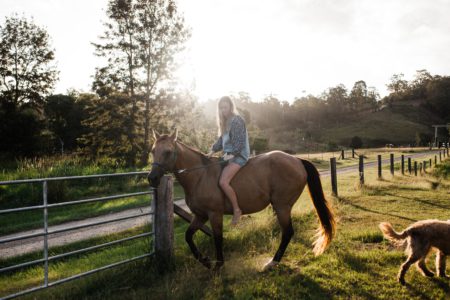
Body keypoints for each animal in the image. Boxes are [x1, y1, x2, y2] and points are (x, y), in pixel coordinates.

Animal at [148, 130, 334, 270]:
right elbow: (188, 237)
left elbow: (217, 237)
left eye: (168, 152)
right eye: (153, 151)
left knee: (287, 232)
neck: (200, 175)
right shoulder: (200, 215)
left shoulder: (214, 214)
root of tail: (297, 160)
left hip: (282, 206)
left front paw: (218, 264)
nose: (152, 178)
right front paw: (206, 261)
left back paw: (272, 263)